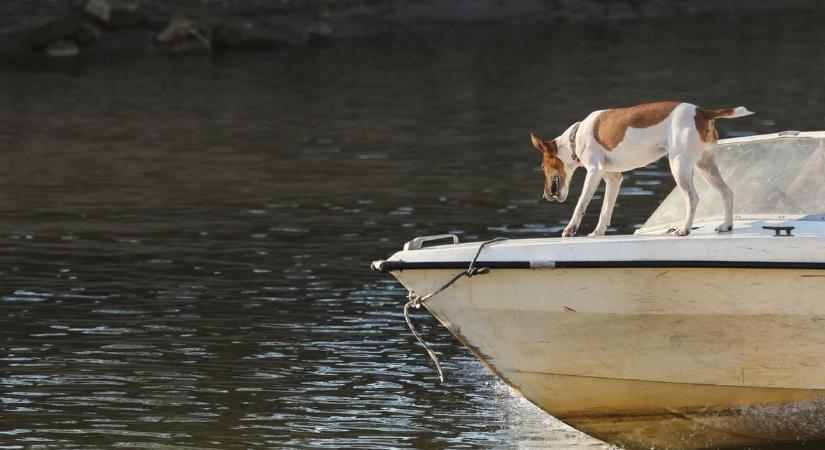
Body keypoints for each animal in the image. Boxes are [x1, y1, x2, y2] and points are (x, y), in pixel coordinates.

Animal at [536, 100, 752, 237]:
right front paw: (598, 232)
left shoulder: (594, 172)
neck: (576, 136)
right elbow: (606, 209)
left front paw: (570, 229)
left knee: (693, 198)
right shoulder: (613, 179)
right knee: (727, 192)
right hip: (705, 167)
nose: (545, 196)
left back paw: (684, 229)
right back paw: (726, 226)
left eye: (542, 166)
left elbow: (581, 204)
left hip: (679, 166)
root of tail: (702, 112)